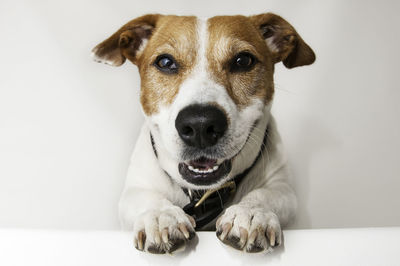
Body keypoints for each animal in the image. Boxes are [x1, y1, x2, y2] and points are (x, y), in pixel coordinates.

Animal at [91, 12, 316, 254]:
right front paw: (161, 215)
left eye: (243, 61)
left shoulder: (283, 188)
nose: (200, 124)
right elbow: (145, 197)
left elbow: (267, 193)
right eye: (165, 62)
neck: (203, 193)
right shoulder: (135, 189)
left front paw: (251, 212)